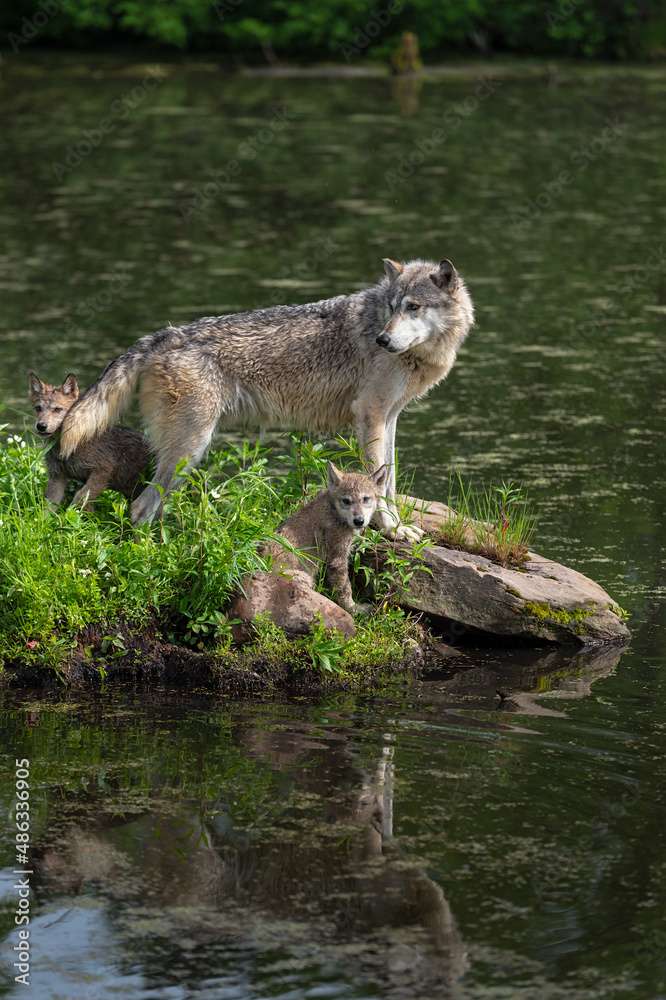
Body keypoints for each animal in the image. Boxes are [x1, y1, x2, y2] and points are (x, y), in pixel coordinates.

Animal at [28, 372, 150, 512]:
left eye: (57, 409)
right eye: (38, 408)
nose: (41, 426)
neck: (66, 446)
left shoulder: (102, 471)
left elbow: (80, 497)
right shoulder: (57, 477)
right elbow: (48, 508)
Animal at [58, 258, 472, 540]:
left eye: (413, 307)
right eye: (392, 307)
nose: (382, 340)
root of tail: (161, 336)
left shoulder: (390, 418)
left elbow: (389, 480)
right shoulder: (370, 415)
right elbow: (380, 486)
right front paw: (392, 529)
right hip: (190, 451)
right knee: (140, 508)